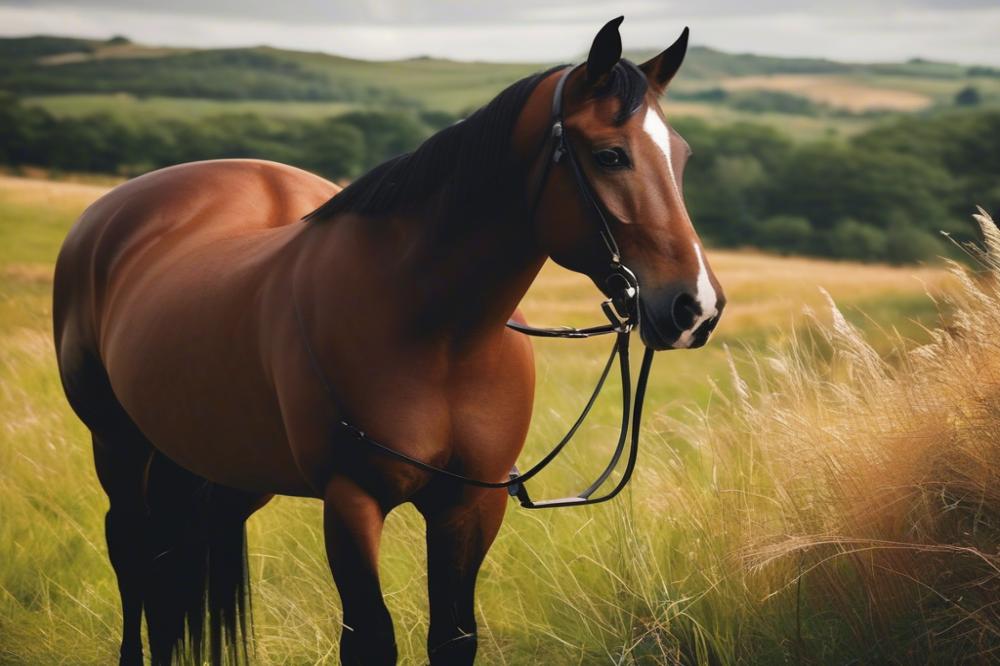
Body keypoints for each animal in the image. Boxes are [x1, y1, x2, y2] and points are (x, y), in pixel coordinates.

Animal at [54, 15, 724, 664]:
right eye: (610, 156)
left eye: (684, 157)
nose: (697, 307)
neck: (440, 337)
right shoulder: (351, 499)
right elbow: (370, 639)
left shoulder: (471, 505)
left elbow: (453, 637)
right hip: (118, 445)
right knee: (133, 553)